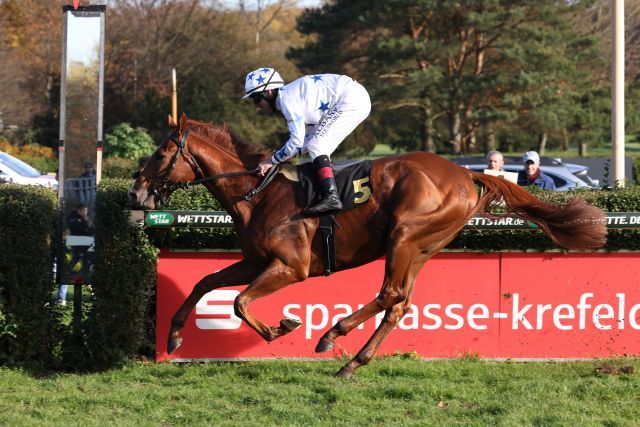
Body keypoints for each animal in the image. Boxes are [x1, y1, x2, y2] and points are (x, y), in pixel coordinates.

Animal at [129, 113, 604, 378]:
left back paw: (331, 335)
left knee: (389, 293)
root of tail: (466, 174)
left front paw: (282, 327)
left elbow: (239, 303)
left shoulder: (290, 267)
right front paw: (174, 336)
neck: (260, 193)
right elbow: (205, 282)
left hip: (405, 236)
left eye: (160, 154)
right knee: (399, 303)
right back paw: (351, 362)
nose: (135, 193)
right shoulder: (257, 261)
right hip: (422, 247)